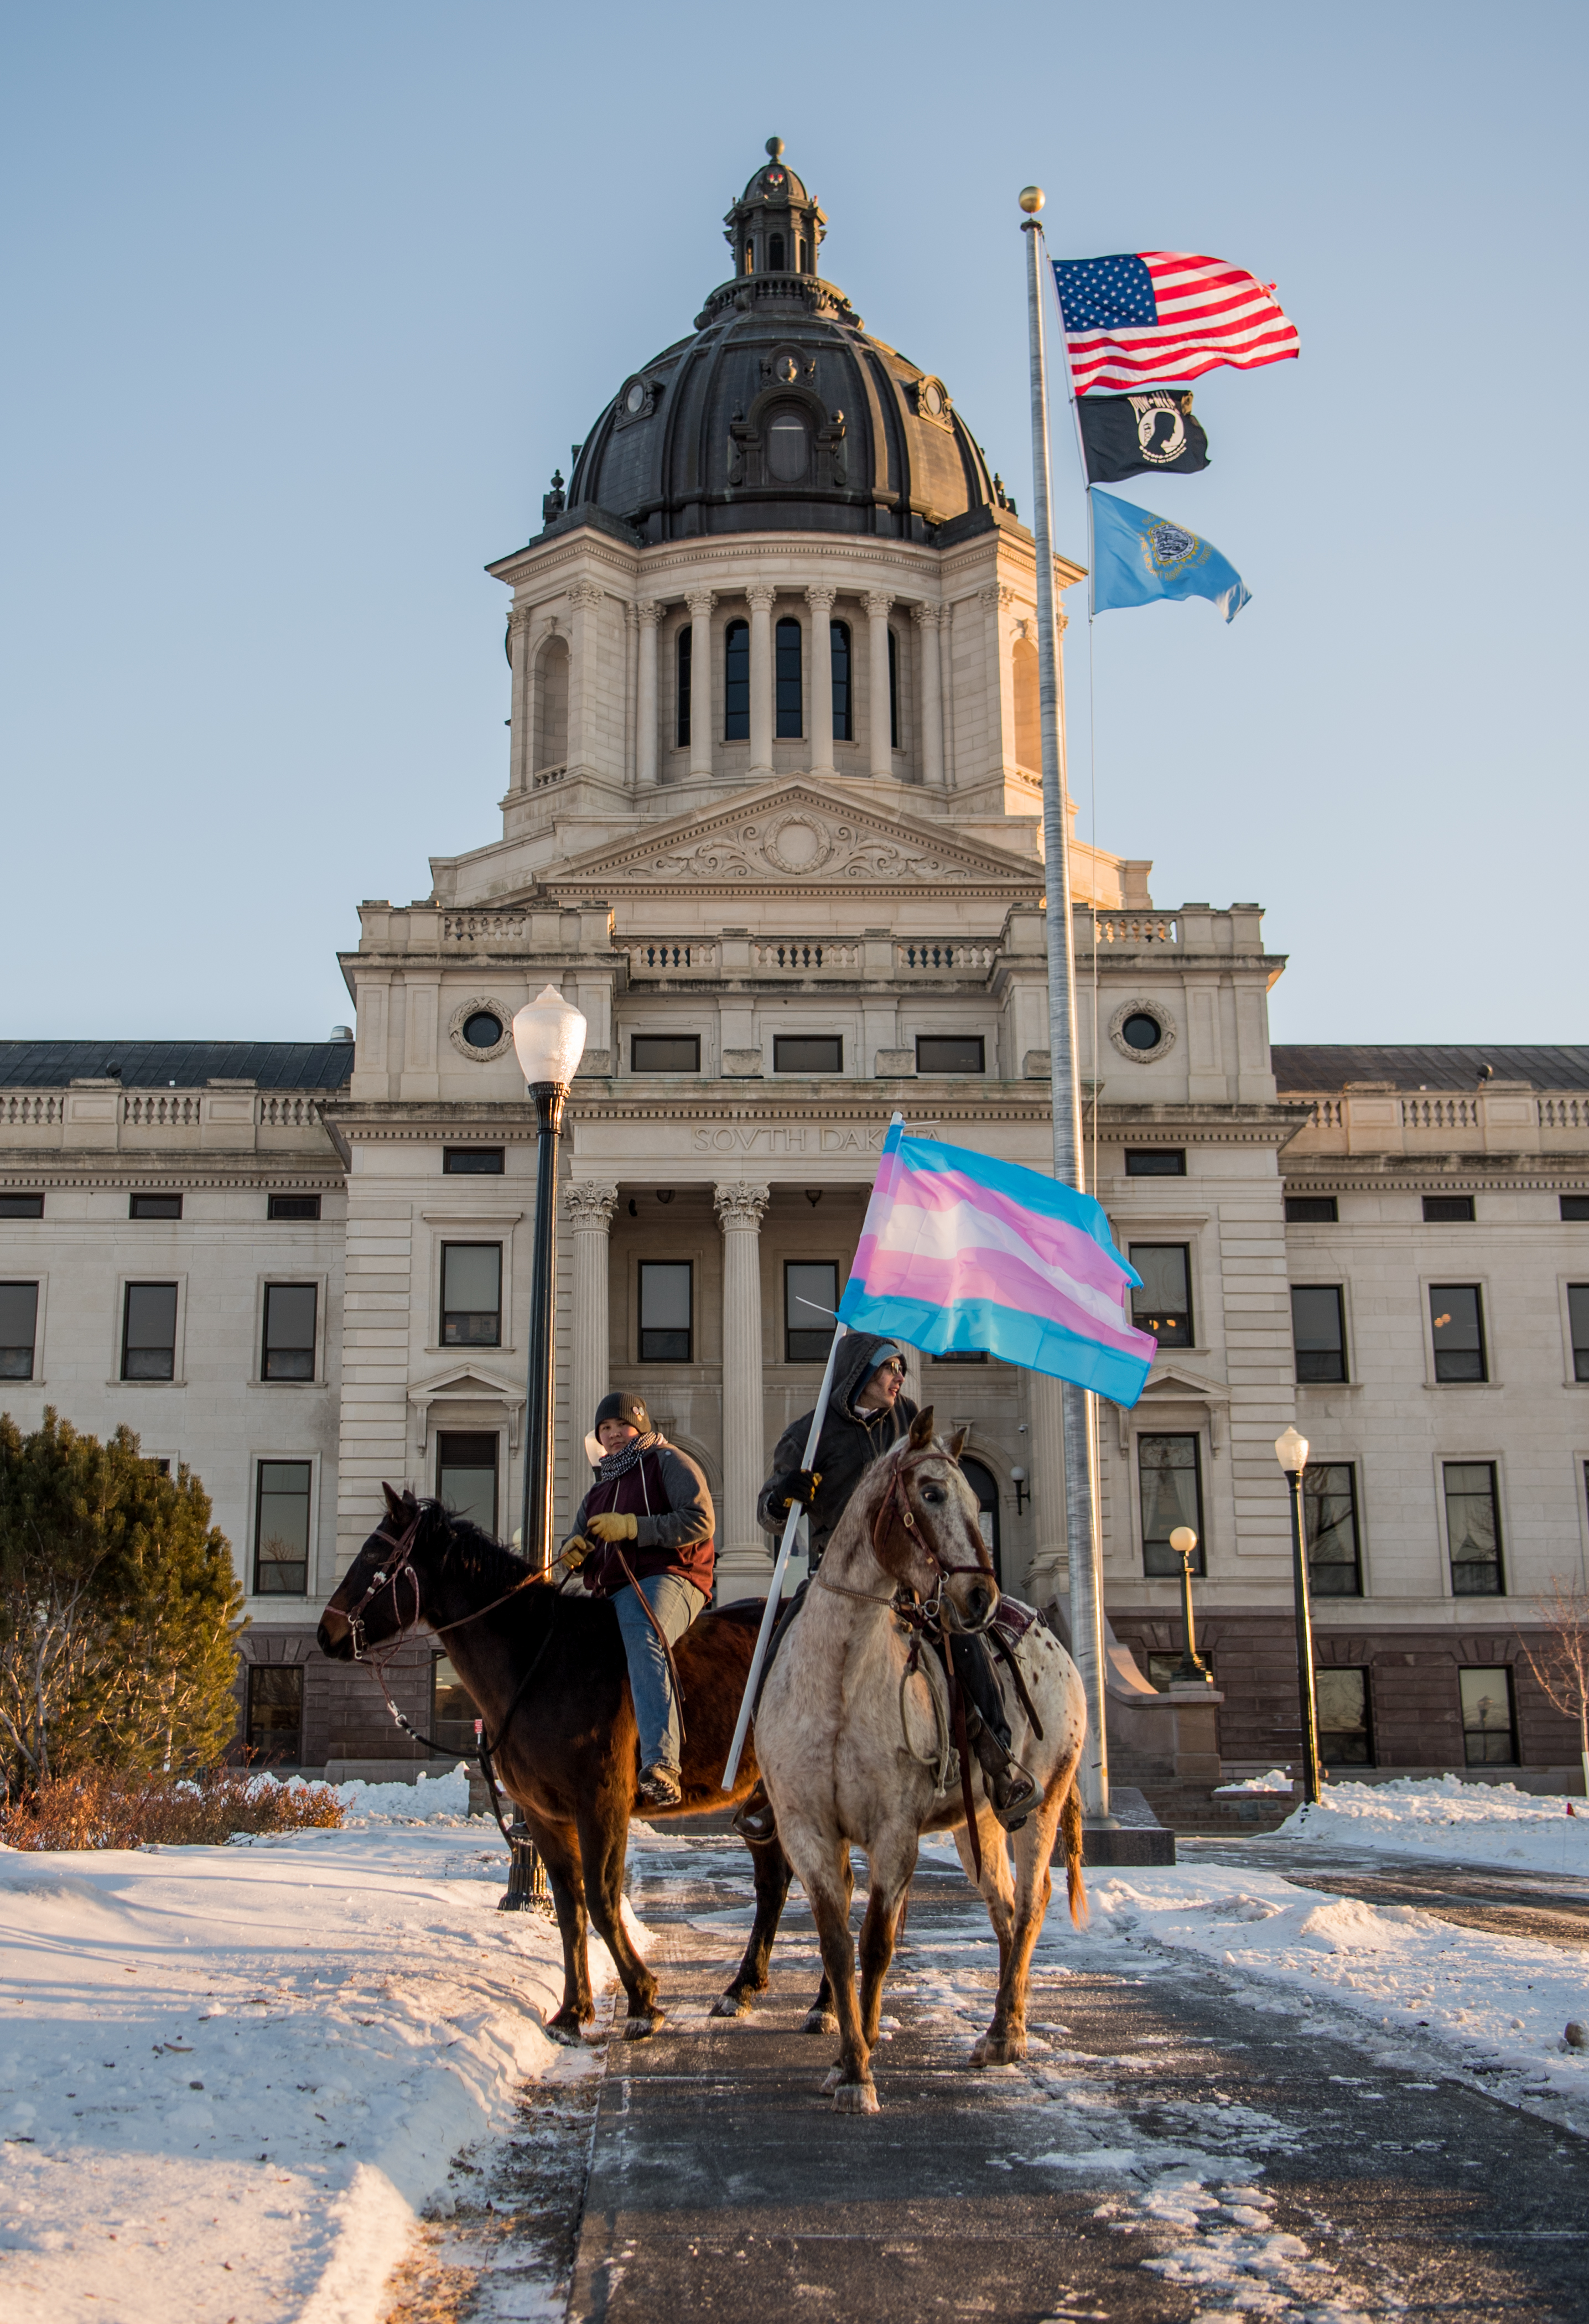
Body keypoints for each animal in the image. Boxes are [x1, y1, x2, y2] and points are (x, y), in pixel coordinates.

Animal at [320, 1487, 790, 2036]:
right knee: (776, 1882)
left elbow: (603, 1903)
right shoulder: (543, 1815)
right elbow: (569, 1907)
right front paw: (573, 2011)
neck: (539, 1660)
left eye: (375, 1555)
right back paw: (745, 1988)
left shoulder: (601, 1805)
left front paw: (642, 1999)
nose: (325, 1632)